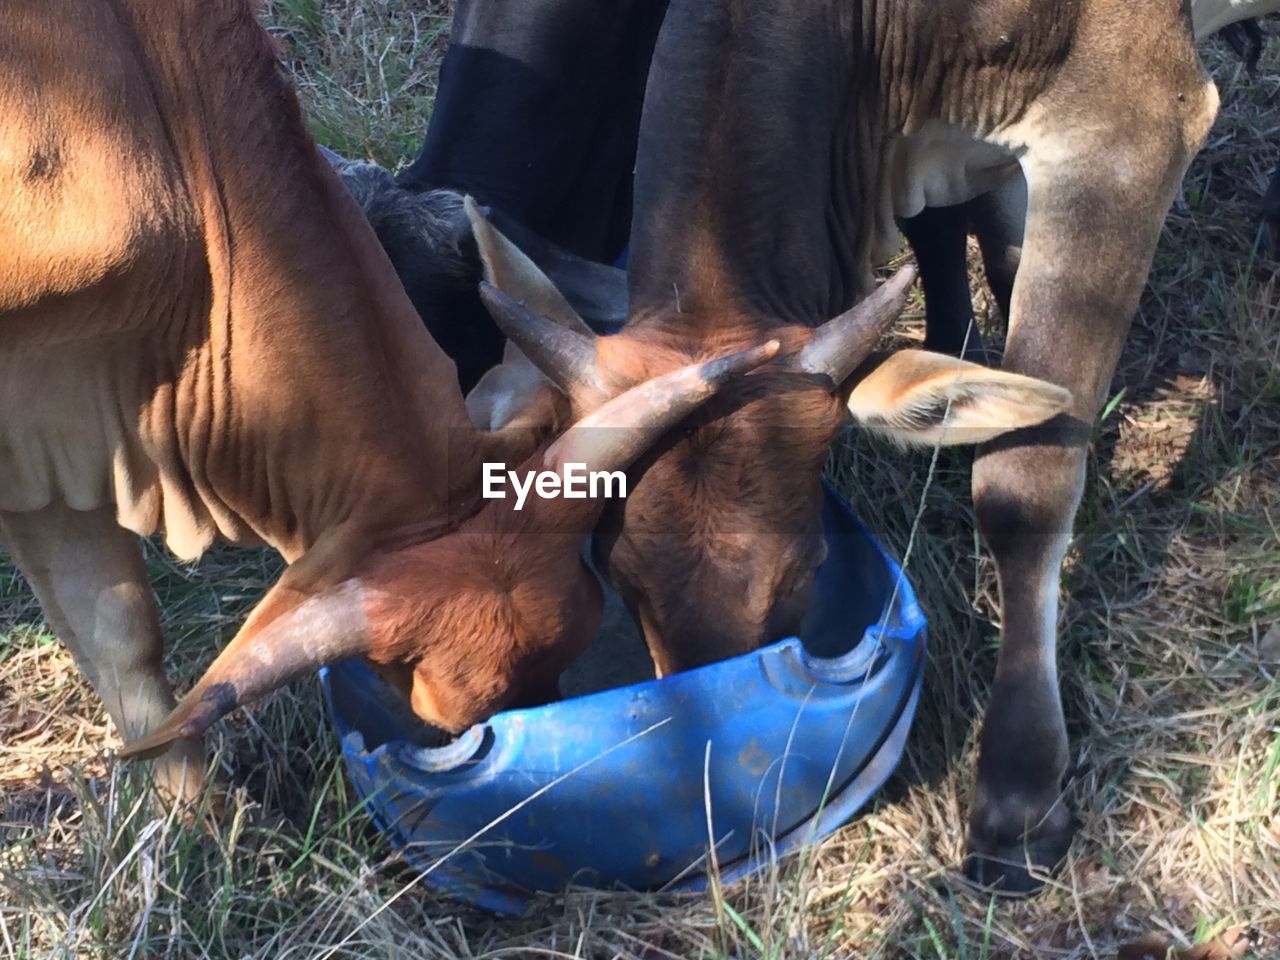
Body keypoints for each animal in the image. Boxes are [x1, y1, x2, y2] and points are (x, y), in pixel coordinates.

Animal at [476, 0, 1213, 896]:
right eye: (619, 574)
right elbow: (971, 252)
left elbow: (1023, 481)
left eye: (807, 570)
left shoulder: (1131, 120)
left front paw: (1019, 796)